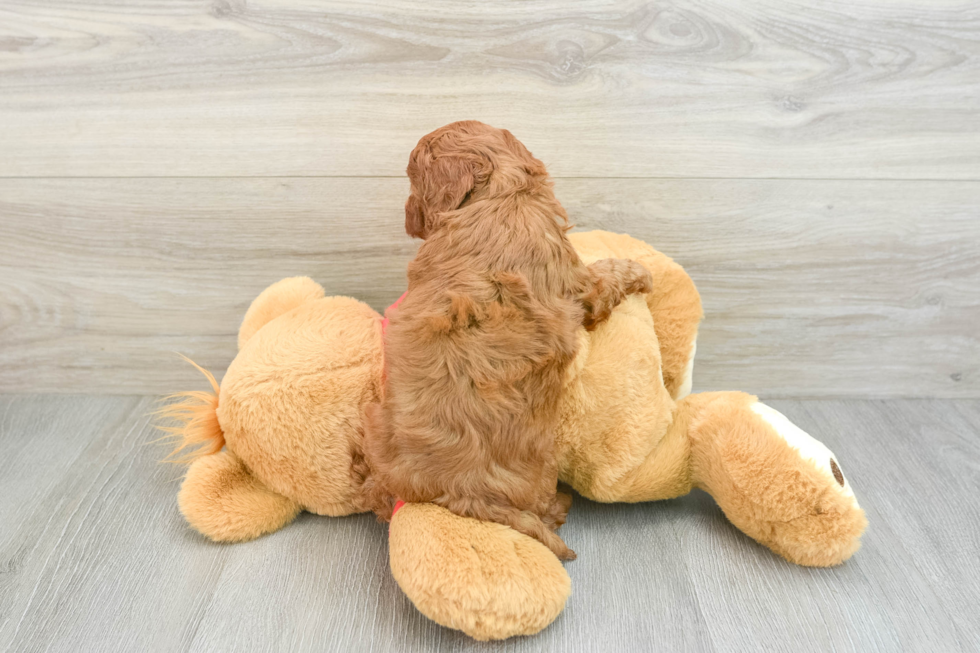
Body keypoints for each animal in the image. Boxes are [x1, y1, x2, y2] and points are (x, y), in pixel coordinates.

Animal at [360, 119, 652, 556]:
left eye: (412, 181)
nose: (408, 220)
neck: (499, 193)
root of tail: (460, 491)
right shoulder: (579, 284)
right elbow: (607, 276)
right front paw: (641, 271)